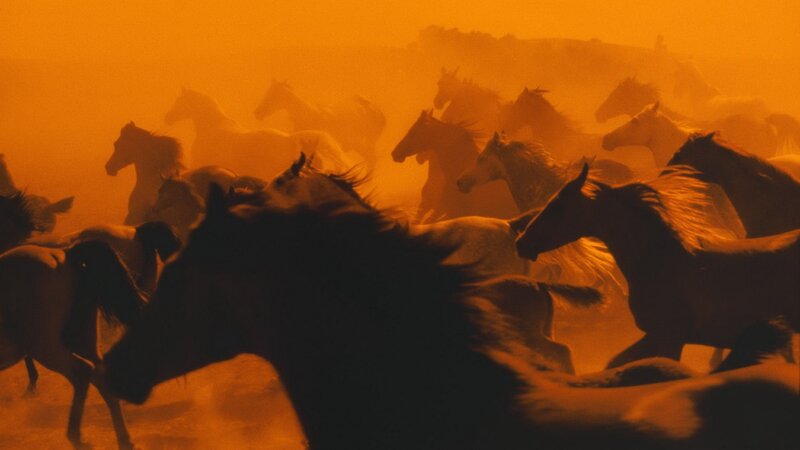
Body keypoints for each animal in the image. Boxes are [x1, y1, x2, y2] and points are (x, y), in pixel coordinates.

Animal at [0, 240, 145, 449]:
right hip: (82, 340)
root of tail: (64, 255)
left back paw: (78, 438)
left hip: (45, 346)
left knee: (81, 371)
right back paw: (125, 440)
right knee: (100, 377)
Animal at [516, 164, 800, 369]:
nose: (522, 243)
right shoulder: (656, 336)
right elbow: (615, 363)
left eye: (557, 206)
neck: (659, 261)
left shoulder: (669, 338)